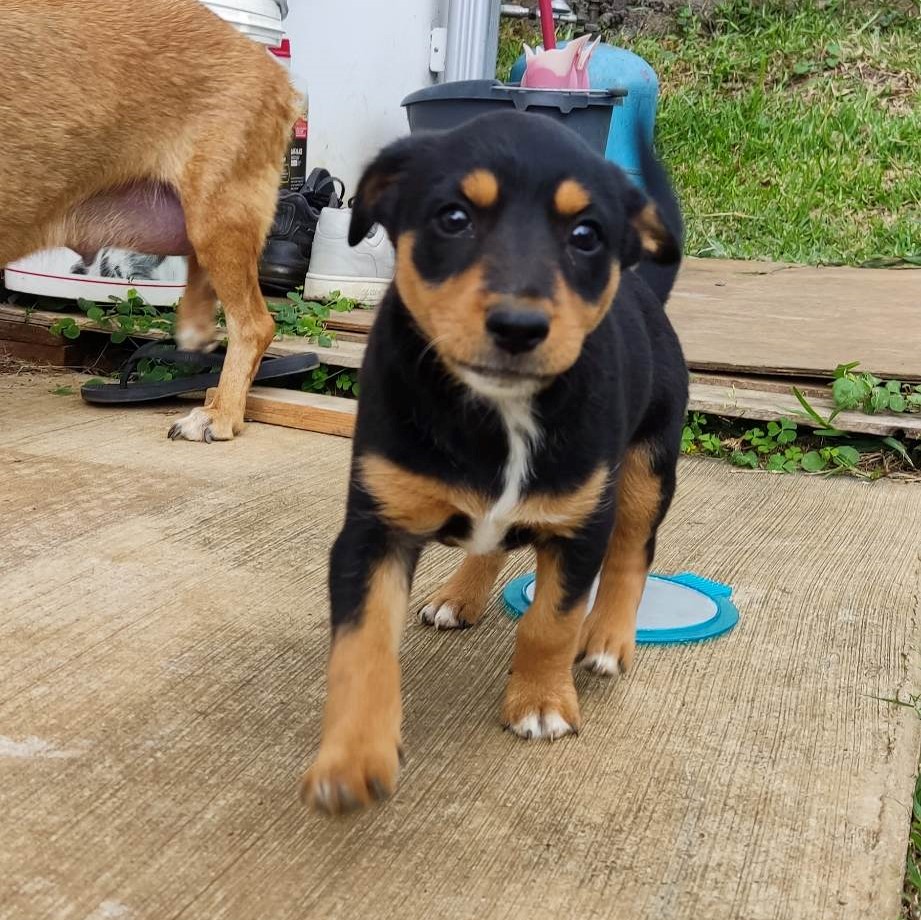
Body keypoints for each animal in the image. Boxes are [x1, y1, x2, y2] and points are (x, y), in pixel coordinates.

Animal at [302, 113, 684, 812]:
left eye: (586, 235)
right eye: (453, 218)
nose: (518, 326)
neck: (502, 411)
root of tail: (645, 286)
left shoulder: (581, 522)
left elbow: (551, 622)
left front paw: (540, 703)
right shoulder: (374, 529)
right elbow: (362, 644)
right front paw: (352, 757)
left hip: (648, 467)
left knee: (633, 552)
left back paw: (609, 639)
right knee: (493, 544)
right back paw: (460, 597)